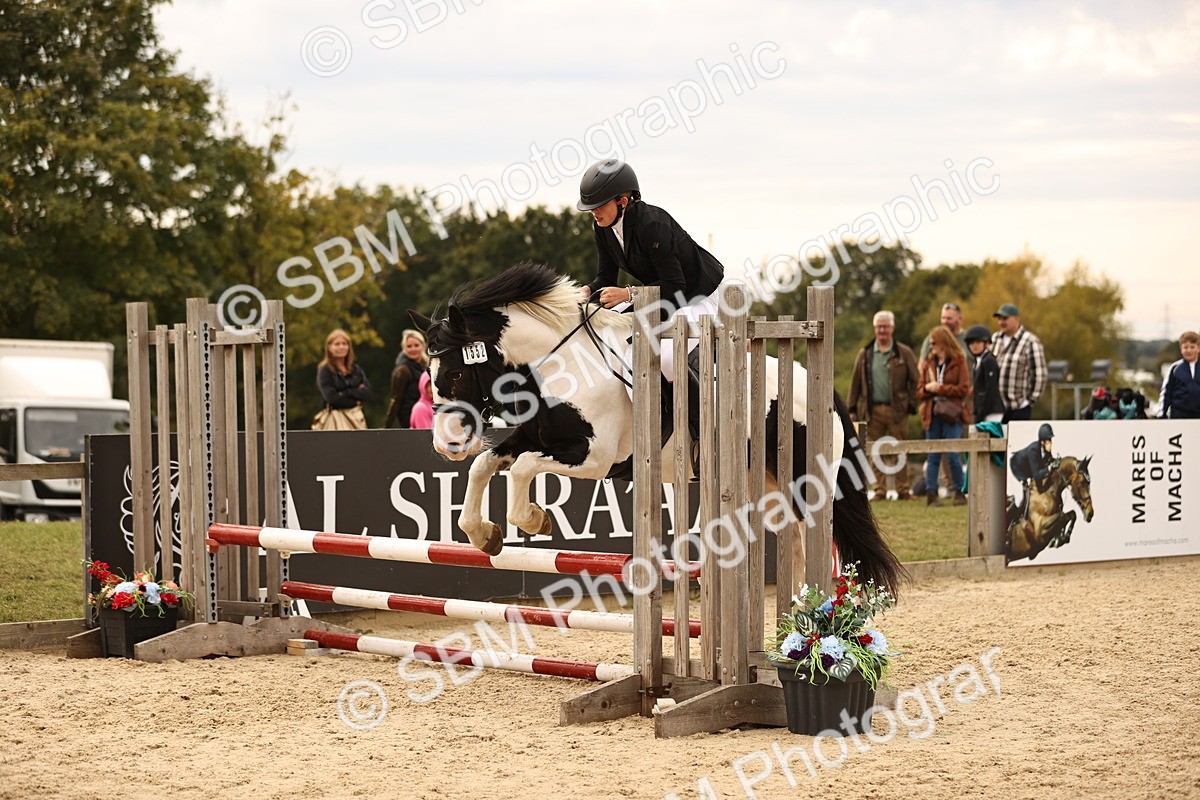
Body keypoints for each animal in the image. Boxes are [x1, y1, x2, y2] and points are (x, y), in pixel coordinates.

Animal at [408, 262, 904, 591]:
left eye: (456, 373)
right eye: (430, 373)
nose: (447, 444)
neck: (560, 364)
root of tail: (818, 384)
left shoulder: (593, 457)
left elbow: (525, 469)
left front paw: (533, 518)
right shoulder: (535, 436)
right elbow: (485, 467)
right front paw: (484, 536)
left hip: (805, 480)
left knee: (815, 536)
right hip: (766, 483)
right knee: (797, 544)